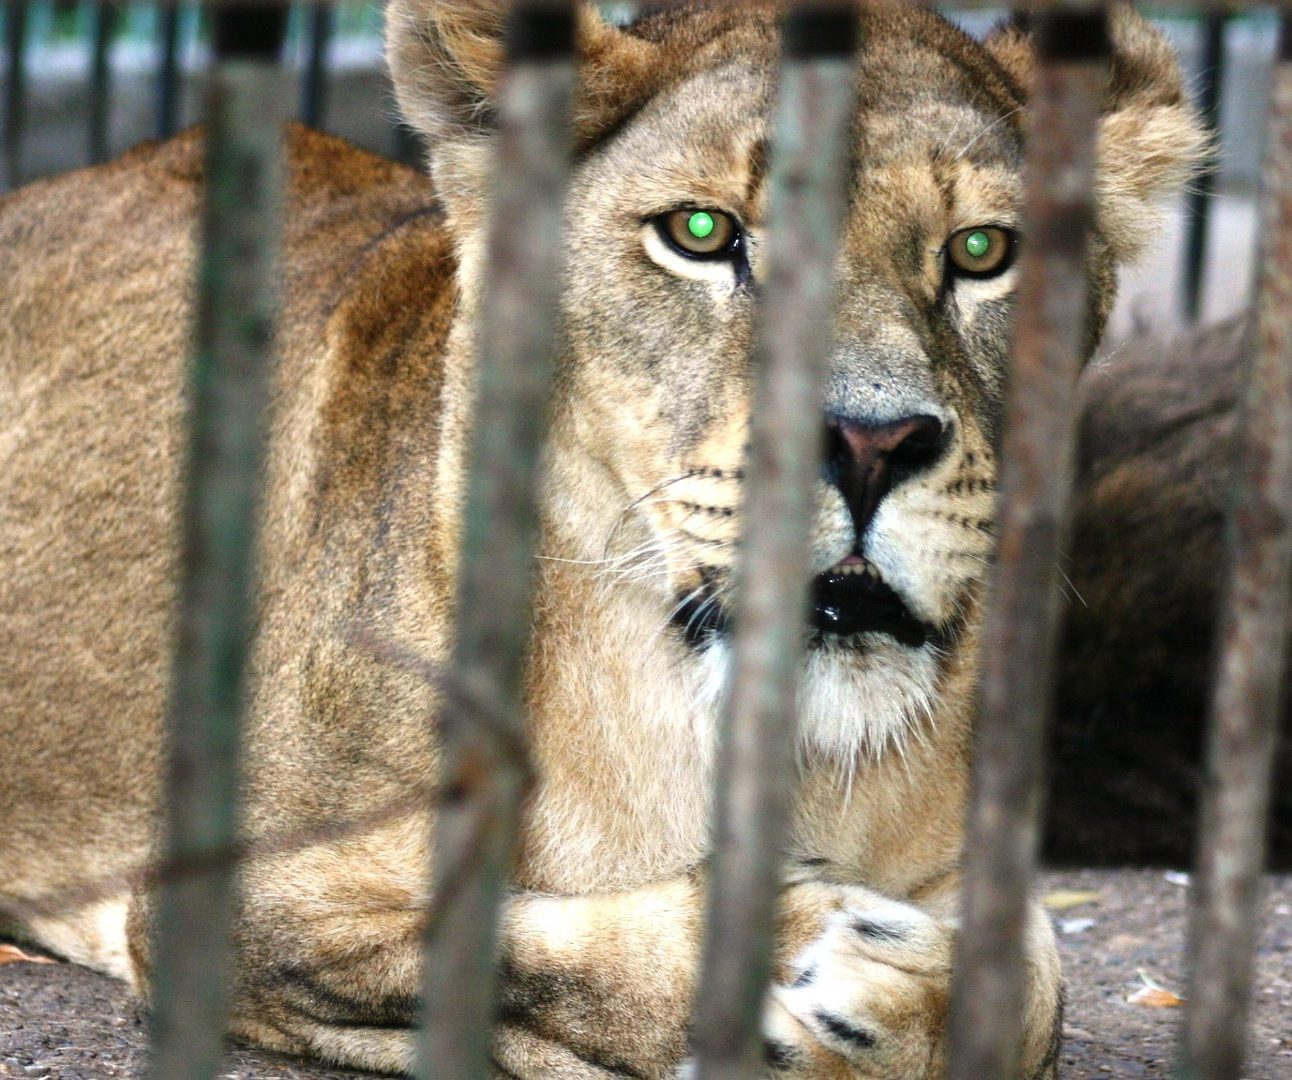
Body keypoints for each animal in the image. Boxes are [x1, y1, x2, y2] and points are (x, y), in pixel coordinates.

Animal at [0, 3, 1205, 1077]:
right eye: (701, 233)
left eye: (982, 252)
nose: (872, 444)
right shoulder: (226, 899)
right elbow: (504, 948)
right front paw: (813, 958)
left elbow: (1034, 992)